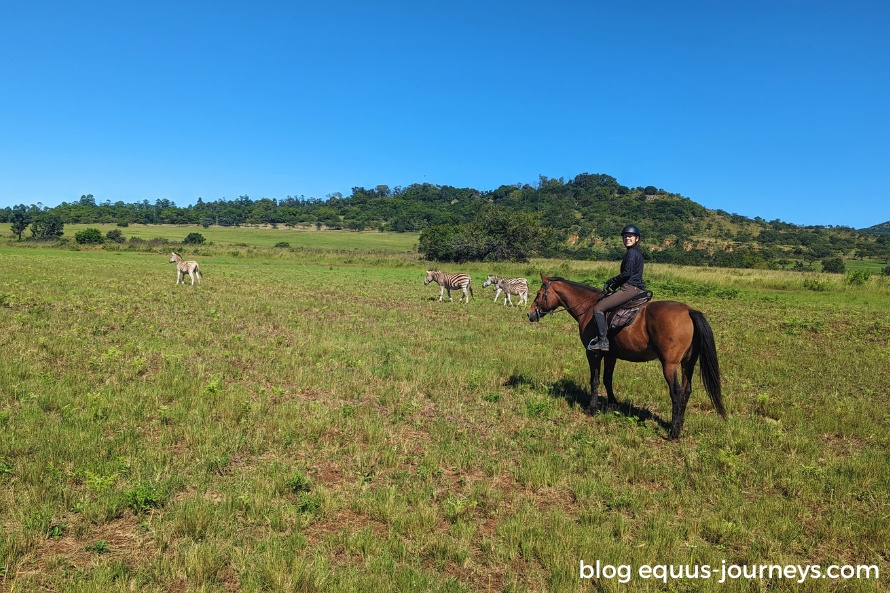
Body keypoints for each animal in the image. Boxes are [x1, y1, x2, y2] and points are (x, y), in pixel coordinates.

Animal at [528, 276, 720, 438]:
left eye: (538, 294)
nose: (529, 314)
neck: (588, 308)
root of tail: (689, 311)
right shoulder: (611, 355)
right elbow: (608, 379)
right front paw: (613, 404)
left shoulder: (593, 353)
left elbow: (595, 380)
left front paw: (591, 408)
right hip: (688, 363)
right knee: (686, 391)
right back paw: (679, 424)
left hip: (669, 364)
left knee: (676, 393)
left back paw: (673, 432)